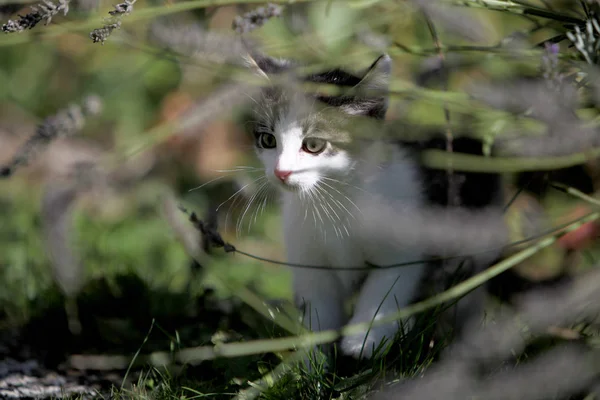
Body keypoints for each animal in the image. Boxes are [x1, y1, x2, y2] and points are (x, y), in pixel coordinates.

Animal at [244, 50, 502, 360]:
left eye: (314, 145)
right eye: (268, 140)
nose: (281, 172)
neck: (333, 198)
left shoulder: (406, 248)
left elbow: (386, 288)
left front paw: (364, 340)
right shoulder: (308, 259)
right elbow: (319, 309)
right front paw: (309, 359)